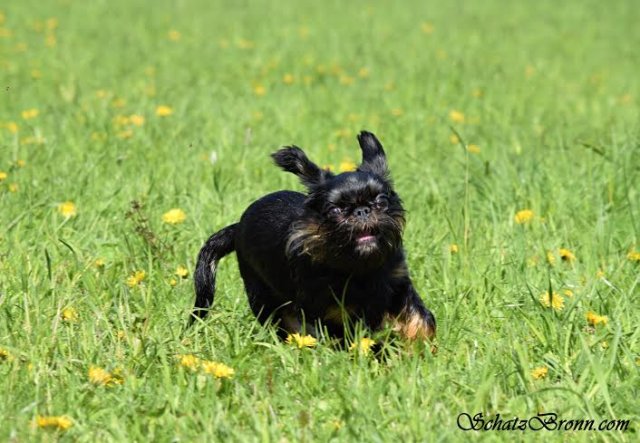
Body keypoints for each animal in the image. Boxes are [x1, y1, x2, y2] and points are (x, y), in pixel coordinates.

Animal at [192, 132, 438, 344]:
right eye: (335, 210)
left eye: (381, 202)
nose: (362, 211)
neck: (358, 268)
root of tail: (237, 227)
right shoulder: (328, 311)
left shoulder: (398, 285)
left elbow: (420, 319)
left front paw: (421, 346)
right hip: (264, 298)